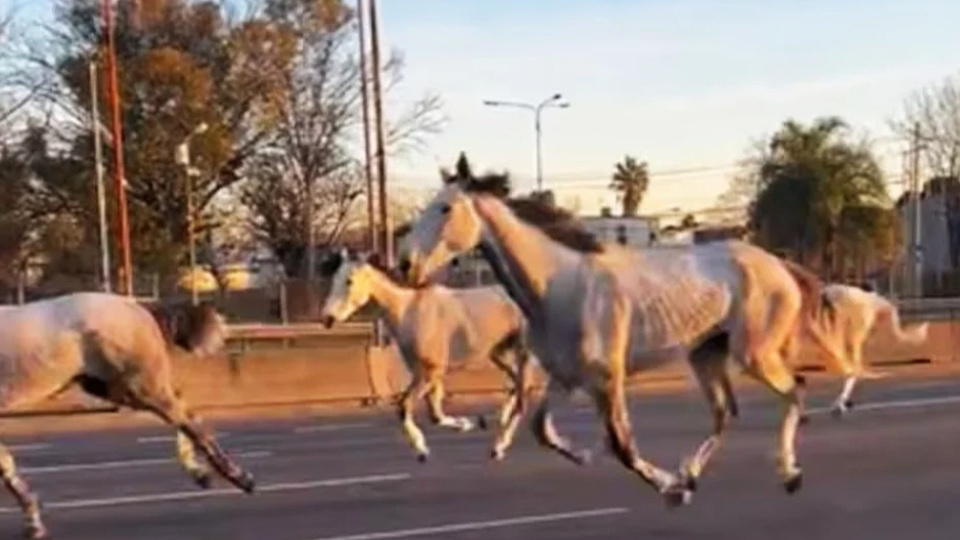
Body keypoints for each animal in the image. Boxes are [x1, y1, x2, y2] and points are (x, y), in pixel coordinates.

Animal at [0, 294, 255, 536]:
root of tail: (139, 307)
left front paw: (33, 522)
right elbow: (6, 465)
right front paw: (33, 523)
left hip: (140, 385)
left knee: (187, 420)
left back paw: (239, 478)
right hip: (114, 388)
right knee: (183, 409)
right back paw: (203, 474)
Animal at [320, 251, 532, 462]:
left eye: (349, 280)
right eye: (334, 278)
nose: (327, 318)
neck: (409, 312)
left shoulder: (430, 372)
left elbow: (404, 406)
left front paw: (421, 449)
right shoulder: (424, 374)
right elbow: (435, 415)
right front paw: (464, 424)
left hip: (522, 352)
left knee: (522, 398)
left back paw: (499, 446)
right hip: (498, 354)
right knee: (516, 384)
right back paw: (496, 418)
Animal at [394, 154, 844, 508]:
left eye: (445, 208)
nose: (404, 264)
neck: (560, 284)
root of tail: (779, 265)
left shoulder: (608, 379)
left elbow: (622, 446)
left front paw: (670, 488)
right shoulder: (566, 377)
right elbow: (542, 429)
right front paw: (587, 456)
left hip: (755, 354)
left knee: (795, 391)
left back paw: (789, 473)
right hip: (706, 355)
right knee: (726, 413)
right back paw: (692, 471)